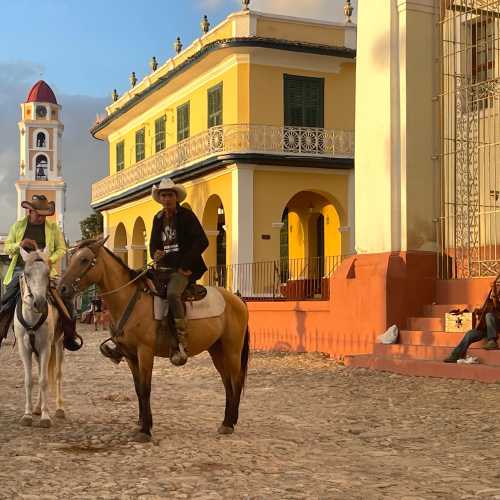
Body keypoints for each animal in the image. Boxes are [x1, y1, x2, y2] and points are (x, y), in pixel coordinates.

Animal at [13, 248, 65, 428]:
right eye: (27, 274)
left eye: (47, 273)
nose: (40, 303)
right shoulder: (25, 350)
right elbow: (29, 380)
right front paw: (28, 415)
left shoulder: (45, 348)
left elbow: (44, 380)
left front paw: (45, 417)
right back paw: (36, 407)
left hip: (58, 345)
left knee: (57, 374)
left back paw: (59, 408)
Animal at [58, 238, 250, 442]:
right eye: (72, 258)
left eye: (85, 260)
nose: (62, 288)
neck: (130, 300)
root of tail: (237, 299)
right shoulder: (130, 355)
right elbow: (137, 389)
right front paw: (142, 423)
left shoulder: (145, 352)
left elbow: (145, 388)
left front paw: (145, 430)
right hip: (216, 350)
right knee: (227, 382)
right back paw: (227, 421)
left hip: (232, 350)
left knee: (235, 381)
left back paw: (229, 423)